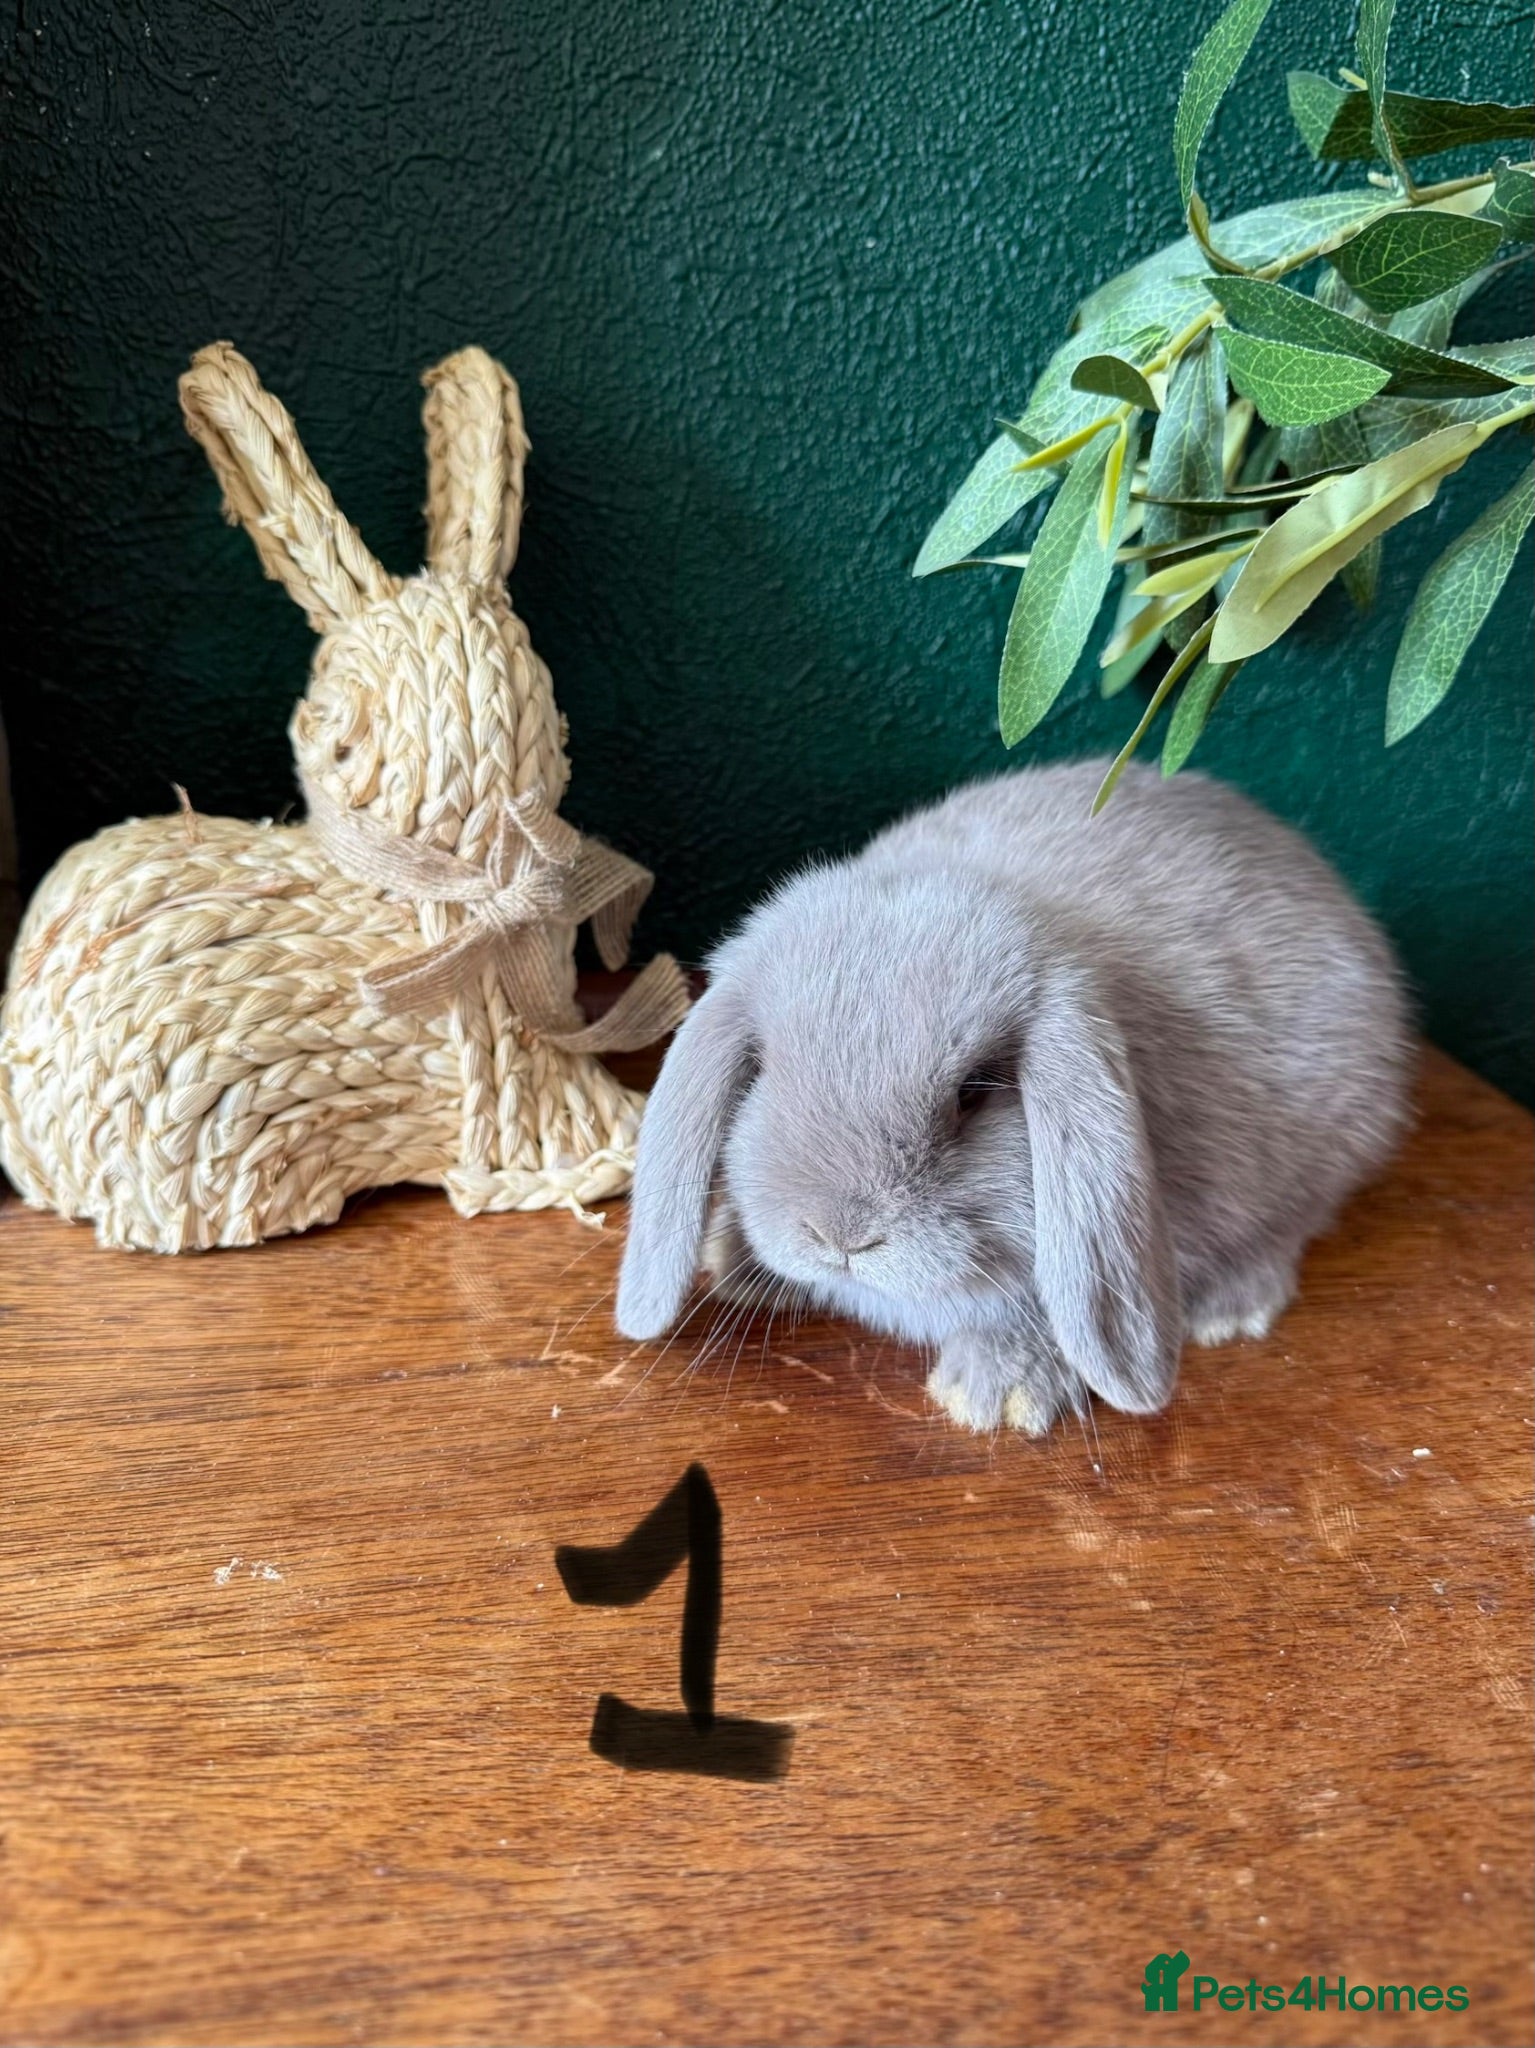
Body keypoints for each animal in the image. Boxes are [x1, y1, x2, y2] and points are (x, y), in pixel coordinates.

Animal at [616, 759, 1410, 1434]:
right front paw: (733, 1257)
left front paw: (993, 1394)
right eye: (764, 1069)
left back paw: (1227, 1310)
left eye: (973, 1093)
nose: (840, 1237)